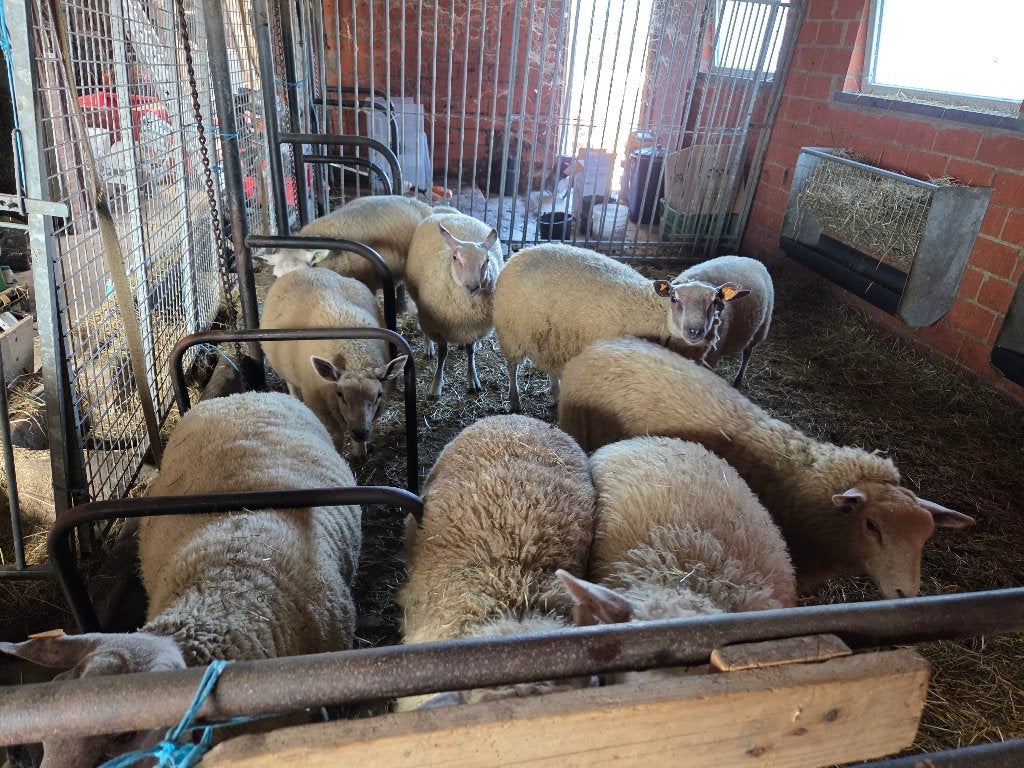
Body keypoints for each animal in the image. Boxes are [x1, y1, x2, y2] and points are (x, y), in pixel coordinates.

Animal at [261, 267, 407, 459]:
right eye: (339, 393)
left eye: (379, 394)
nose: (360, 432)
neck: (354, 358)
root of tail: (305, 269)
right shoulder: (321, 408)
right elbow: (336, 437)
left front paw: (360, 453)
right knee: (291, 384)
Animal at [404, 213, 502, 399]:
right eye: (455, 258)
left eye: (486, 260)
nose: (472, 287)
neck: (465, 312)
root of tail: (445, 213)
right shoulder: (438, 327)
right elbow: (442, 355)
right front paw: (436, 385)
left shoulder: (473, 328)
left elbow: (470, 352)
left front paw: (473, 380)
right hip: (422, 308)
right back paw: (428, 347)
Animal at [491, 243, 706, 412]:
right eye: (674, 299)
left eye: (713, 304)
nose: (696, 331)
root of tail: (520, 253)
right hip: (510, 333)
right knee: (512, 367)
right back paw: (514, 400)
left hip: (548, 339)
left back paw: (556, 394)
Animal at [652, 254, 774, 387]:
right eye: (673, 299)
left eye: (715, 302)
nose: (695, 331)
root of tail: (749, 258)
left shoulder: (712, 357)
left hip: (760, 330)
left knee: (747, 353)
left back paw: (738, 381)